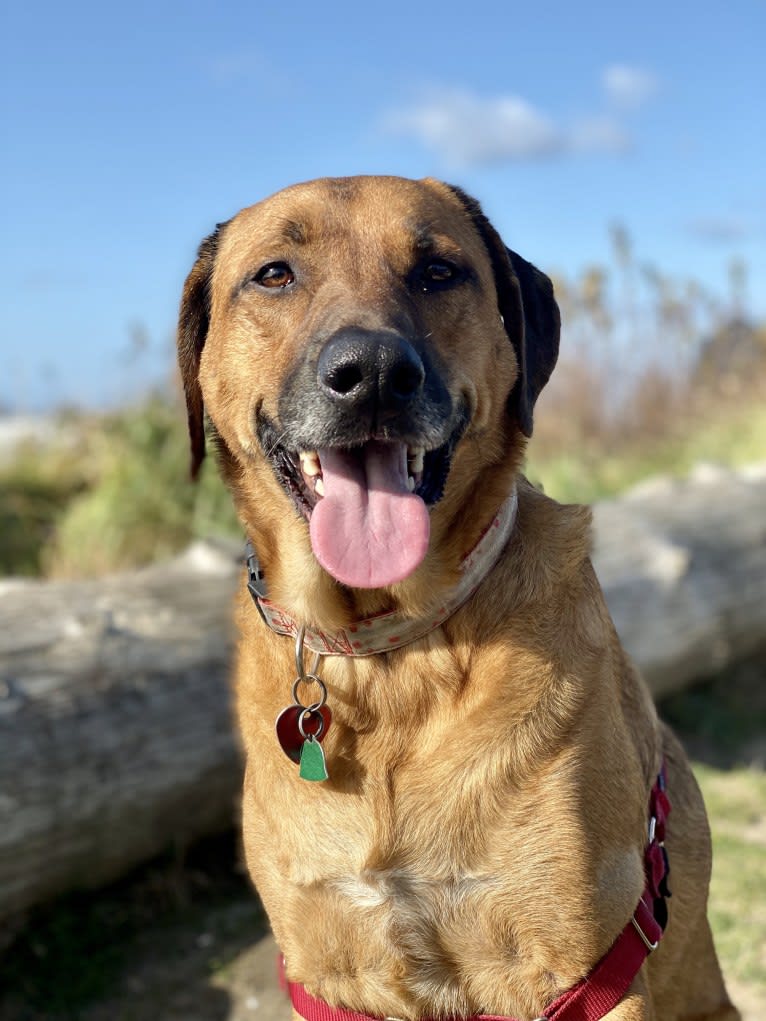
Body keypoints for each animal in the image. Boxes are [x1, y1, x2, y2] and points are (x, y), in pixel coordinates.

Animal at [176, 177, 739, 1021]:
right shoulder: (328, 972)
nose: (374, 372)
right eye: (274, 274)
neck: (391, 654)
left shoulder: (585, 970)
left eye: (438, 272)